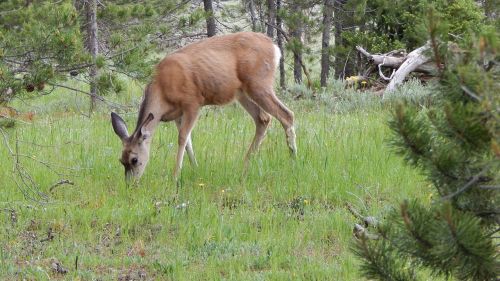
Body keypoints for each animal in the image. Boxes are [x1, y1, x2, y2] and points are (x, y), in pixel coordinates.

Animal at [111, 32, 294, 182]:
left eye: (134, 159)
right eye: (121, 160)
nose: (130, 184)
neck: (162, 91)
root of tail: (275, 48)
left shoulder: (193, 102)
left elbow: (182, 137)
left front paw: (175, 176)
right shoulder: (177, 113)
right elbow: (188, 142)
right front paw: (195, 169)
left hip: (259, 84)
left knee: (286, 115)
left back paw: (293, 158)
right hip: (242, 93)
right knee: (263, 118)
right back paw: (246, 164)